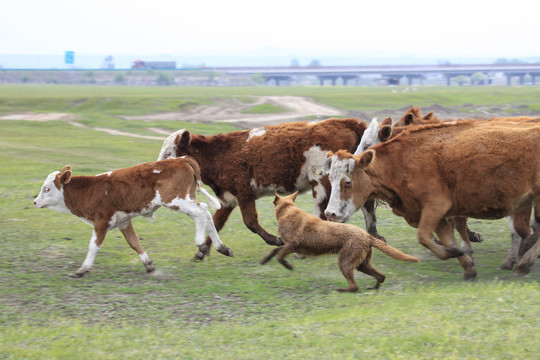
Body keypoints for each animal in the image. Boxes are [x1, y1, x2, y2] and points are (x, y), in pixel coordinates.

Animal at [33, 158, 232, 278]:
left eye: (47, 189)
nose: (35, 202)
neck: (89, 190)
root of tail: (180, 159)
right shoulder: (124, 222)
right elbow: (134, 242)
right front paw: (148, 264)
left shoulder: (101, 222)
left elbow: (93, 246)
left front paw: (82, 269)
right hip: (185, 198)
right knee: (205, 212)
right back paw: (222, 247)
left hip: (174, 200)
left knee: (201, 211)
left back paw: (200, 242)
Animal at [156, 118, 384, 258]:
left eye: (168, 153)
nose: (157, 169)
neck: (218, 154)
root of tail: (345, 122)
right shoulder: (228, 199)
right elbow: (217, 223)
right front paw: (203, 251)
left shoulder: (244, 193)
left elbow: (250, 222)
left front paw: (275, 240)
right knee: (367, 205)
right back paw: (375, 234)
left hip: (322, 184)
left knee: (323, 215)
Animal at [260, 193, 420, 292]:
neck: (288, 211)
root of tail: (367, 236)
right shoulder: (288, 245)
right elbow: (275, 251)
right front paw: (265, 260)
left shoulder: (293, 245)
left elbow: (280, 256)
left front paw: (288, 266)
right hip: (362, 264)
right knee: (381, 276)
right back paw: (373, 288)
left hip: (345, 261)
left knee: (354, 286)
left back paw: (342, 290)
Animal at [324, 121, 540, 278]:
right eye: (331, 179)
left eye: (348, 182)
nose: (330, 214)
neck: (401, 162)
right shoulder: (435, 216)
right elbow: (447, 239)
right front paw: (467, 264)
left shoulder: (435, 207)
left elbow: (425, 238)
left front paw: (459, 253)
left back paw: (524, 263)